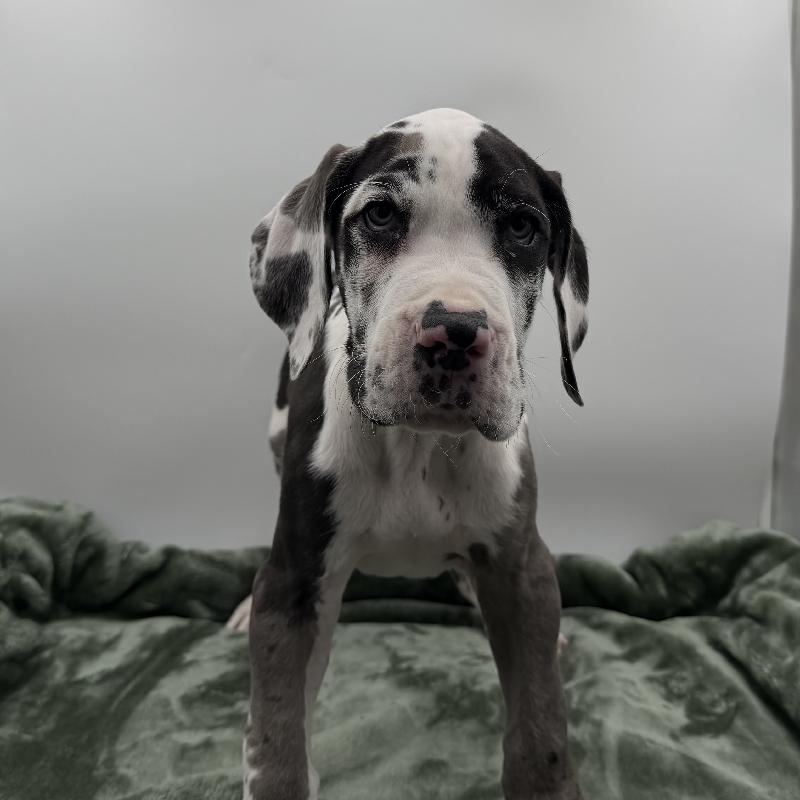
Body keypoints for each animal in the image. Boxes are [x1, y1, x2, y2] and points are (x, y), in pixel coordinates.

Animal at [235, 108, 588, 800]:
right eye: (378, 216)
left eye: (523, 228)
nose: (454, 332)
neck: (418, 445)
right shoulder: (294, 586)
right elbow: (277, 743)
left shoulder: (522, 574)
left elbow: (541, 731)